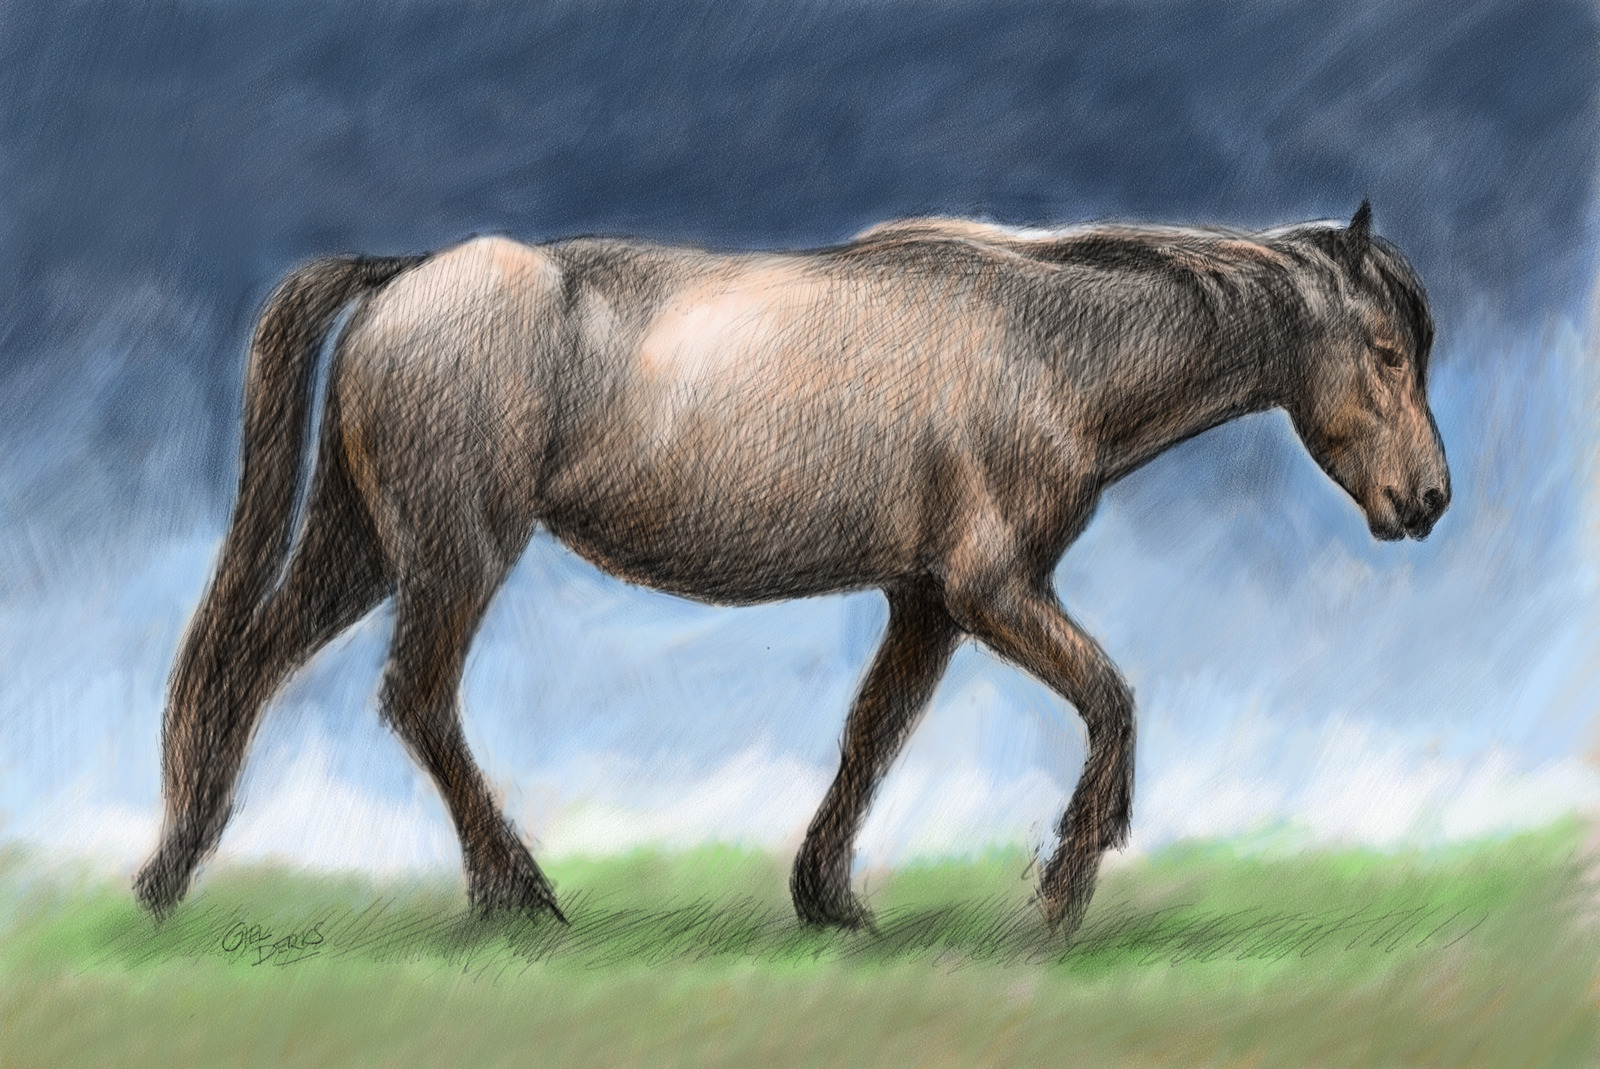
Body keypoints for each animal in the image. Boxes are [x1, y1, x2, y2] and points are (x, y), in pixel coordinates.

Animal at [133, 202, 1448, 936]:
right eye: (1385, 352)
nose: (1426, 501)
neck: (1042, 348)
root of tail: (402, 278)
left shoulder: (926, 601)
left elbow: (870, 737)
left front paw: (828, 897)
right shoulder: (992, 591)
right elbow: (1111, 702)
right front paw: (1064, 887)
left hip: (362, 541)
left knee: (248, 666)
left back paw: (172, 872)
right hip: (455, 552)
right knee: (414, 698)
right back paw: (516, 894)